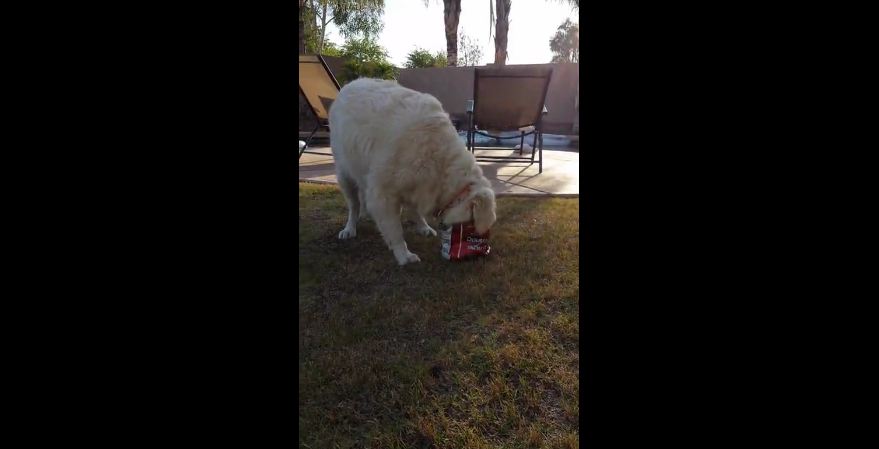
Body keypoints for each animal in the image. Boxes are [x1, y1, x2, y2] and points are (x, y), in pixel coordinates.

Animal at [328, 78, 496, 264]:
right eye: (470, 225)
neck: (440, 160)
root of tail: (350, 84)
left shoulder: (419, 184)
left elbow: (415, 209)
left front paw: (423, 227)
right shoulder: (383, 193)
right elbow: (395, 230)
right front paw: (404, 255)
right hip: (345, 174)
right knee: (353, 205)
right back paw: (349, 228)